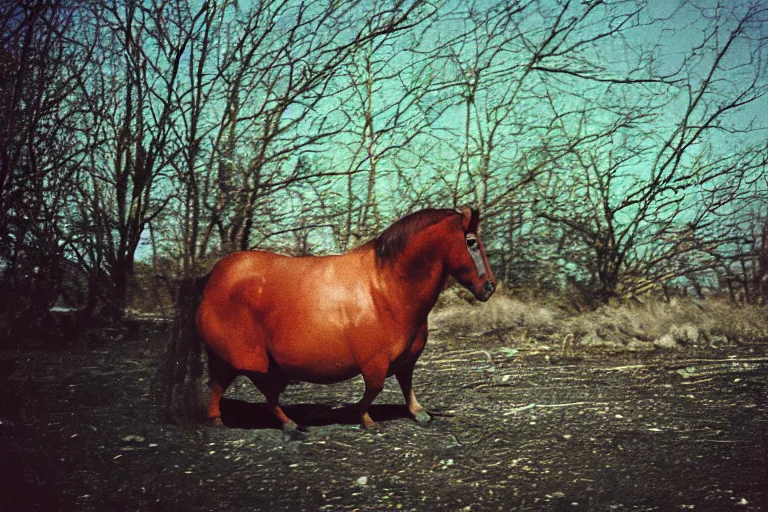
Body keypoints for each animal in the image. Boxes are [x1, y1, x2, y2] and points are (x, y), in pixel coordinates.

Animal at [196, 207, 498, 432]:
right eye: (471, 242)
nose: (490, 287)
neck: (387, 285)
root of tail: (215, 276)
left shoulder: (407, 357)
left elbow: (406, 382)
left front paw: (418, 412)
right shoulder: (374, 361)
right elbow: (374, 389)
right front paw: (364, 419)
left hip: (243, 359)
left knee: (223, 385)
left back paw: (227, 420)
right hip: (250, 358)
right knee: (254, 390)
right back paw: (280, 424)